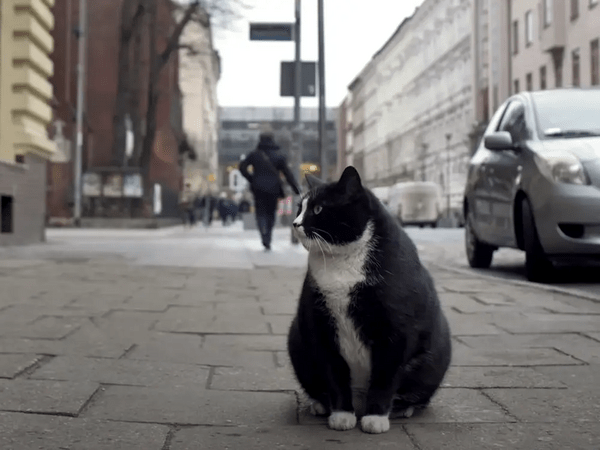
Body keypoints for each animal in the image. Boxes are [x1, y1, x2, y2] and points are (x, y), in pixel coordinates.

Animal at [286, 167, 450, 434]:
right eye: (300, 207)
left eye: (318, 209)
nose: (295, 223)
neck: (342, 264)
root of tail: (360, 401)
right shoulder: (320, 327)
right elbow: (334, 374)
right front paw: (341, 414)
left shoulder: (396, 331)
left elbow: (385, 377)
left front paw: (376, 418)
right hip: (297, 341)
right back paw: (321, 405)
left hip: (433, 360)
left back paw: (403, 408)